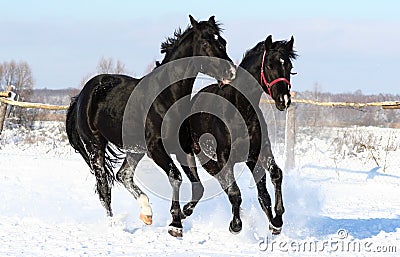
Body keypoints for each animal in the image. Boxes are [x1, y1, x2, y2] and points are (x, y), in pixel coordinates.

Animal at [65, 15, 234, 236]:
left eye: (223, 42)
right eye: (205, 43)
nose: (231, 72)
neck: (167, 96)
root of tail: (82, 95)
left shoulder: (183, 147)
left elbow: (198, 187)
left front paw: (184, 213)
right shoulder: (156, 148)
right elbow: (176, 177)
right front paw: (175, 224)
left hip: (134, 149)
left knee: (123, 175)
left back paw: (146, 213)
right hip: (96, 147)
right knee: (104, 187)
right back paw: (113, 225)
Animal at [188, 35, 296, 234]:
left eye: (290, 66)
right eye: (270, 65)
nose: (284, 100)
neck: (239, 110)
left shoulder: (258, 153)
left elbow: (275, 176)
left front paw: (276, 221)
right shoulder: (224, 158)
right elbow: (234, 191)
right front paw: (236, 225)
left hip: (248, 161)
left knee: (260, 192)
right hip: (206, 160)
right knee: (222, 183)